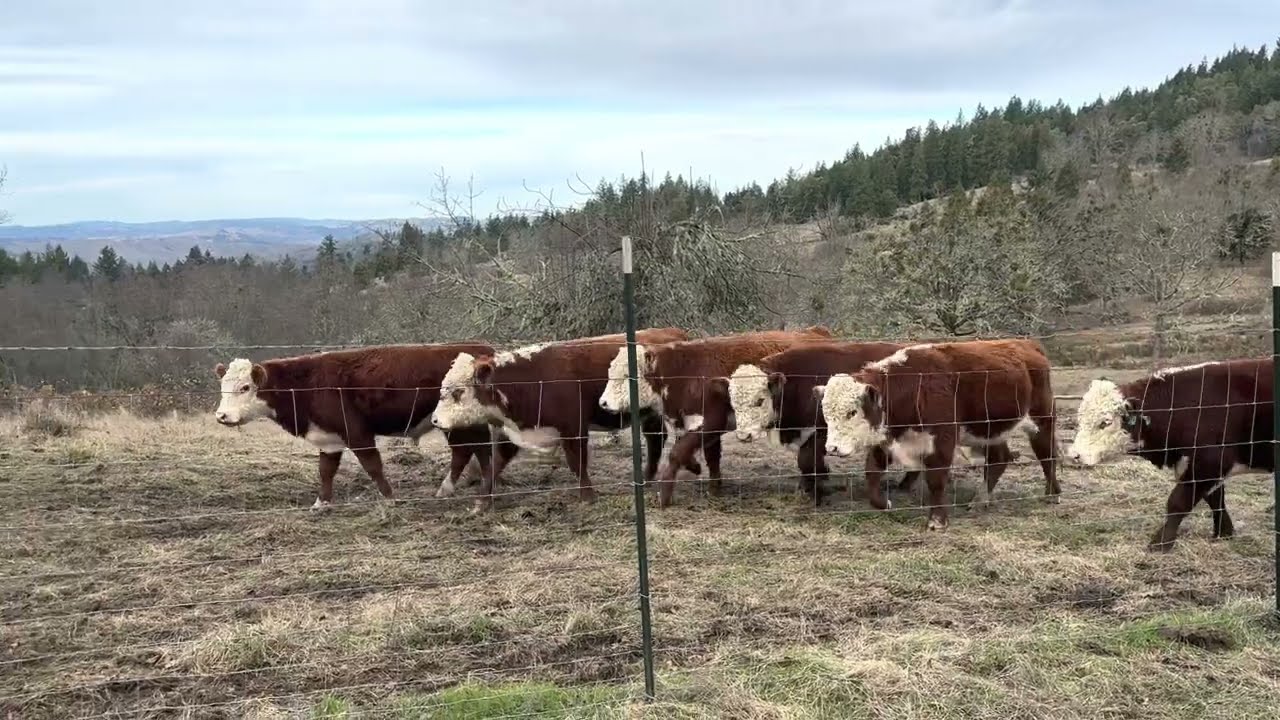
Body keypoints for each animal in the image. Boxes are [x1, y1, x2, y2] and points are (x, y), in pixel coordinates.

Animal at [213, 343, 518, 510]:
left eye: (244, 387)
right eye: (223, 385)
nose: (222, 416)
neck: (305, 384)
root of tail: (484, 350)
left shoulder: (357, 433)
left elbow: (372, 465)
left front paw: (389, 498)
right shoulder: (329, 438)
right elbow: (326, 471)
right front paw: (321, 502)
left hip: (462, 425)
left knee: (474, 451)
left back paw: (470, 490)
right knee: (470, 452)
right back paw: (462, 487)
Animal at [429, 327, 691, 511]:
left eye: (458, 392)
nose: (435, 420)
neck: (532, 380)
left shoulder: (574, 428)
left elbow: (577, 462)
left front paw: (588, 496)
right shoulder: (509, 434)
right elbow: (494, 466)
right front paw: (482, 502)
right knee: (656, 440)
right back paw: (646, 478)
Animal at [597, 326, 836, 507]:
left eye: (626, 375)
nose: (603, 403)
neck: (683, 373)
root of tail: (816, 331)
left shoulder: (710, 422)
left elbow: (677, 453)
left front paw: (664, 496)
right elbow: (708, 457)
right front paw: (710, 482)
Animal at [816, 338, 1060, 530]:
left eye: (851, 412)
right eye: (826, 413)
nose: (832, 448)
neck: (914, 386)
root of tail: (1027, 344)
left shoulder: (942, 440)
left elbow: (935, 479)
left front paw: (937, 520)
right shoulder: (887, 439)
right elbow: (872, 473)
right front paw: (884, 504)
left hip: (1042, 421)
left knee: (1047, 456)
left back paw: (1052, 494)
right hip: (990, 430)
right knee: (998, 460)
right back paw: (980, 499)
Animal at [1065, 358, 1272, 551]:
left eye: (1105, 422)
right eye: (1080, 419)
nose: (1074, 455)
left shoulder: (1209, 463)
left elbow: (1178, 502)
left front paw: (1160, 543)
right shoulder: (1194, 465)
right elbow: (1215, 500)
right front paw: (1223, 534)